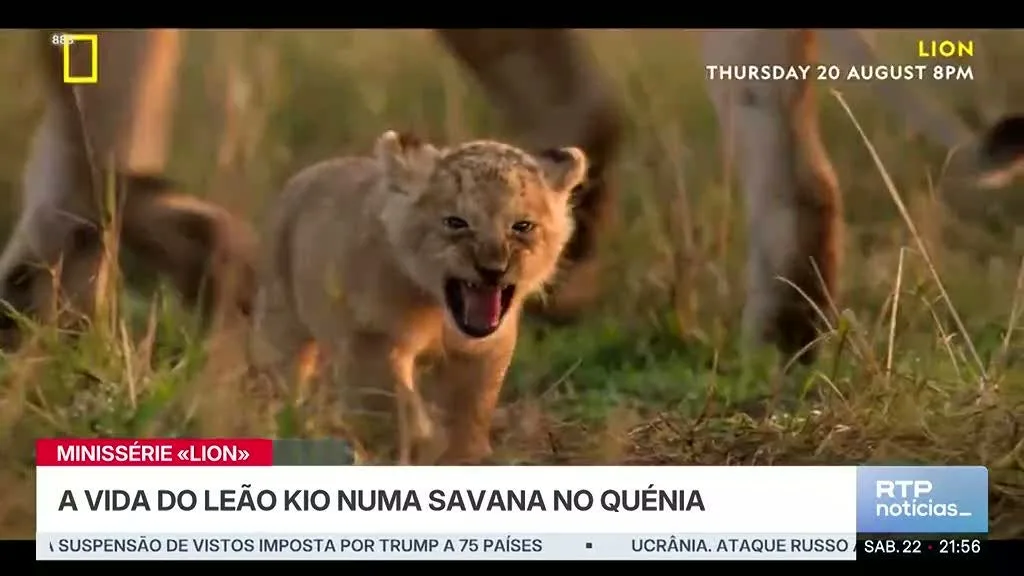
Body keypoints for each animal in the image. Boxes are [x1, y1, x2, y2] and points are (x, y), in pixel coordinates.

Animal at [250, 130, 587, 464]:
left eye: (522, 226)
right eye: (456, 222)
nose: (493, 269)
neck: (437, 309)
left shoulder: (484, 349)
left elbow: (471, 408)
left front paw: (466, 455)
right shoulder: (371, 337)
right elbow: (386, 407)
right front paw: (408, 446)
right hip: (282, 322)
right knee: (281, 376)